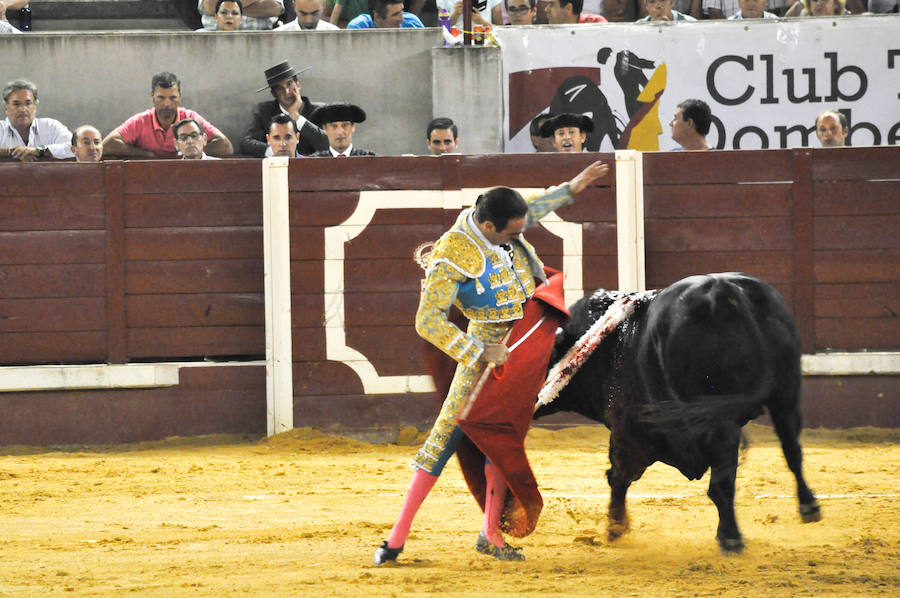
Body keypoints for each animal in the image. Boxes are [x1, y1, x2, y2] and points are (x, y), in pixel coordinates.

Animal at [422, 272, 824, 552]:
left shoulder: (628, 430)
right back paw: (808, 508)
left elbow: (617, 476)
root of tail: (726, 294)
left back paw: (731, 538)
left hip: (720, 417)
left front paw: (615, 528)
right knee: (791, 449)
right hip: (787, 392)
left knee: (724, 481)